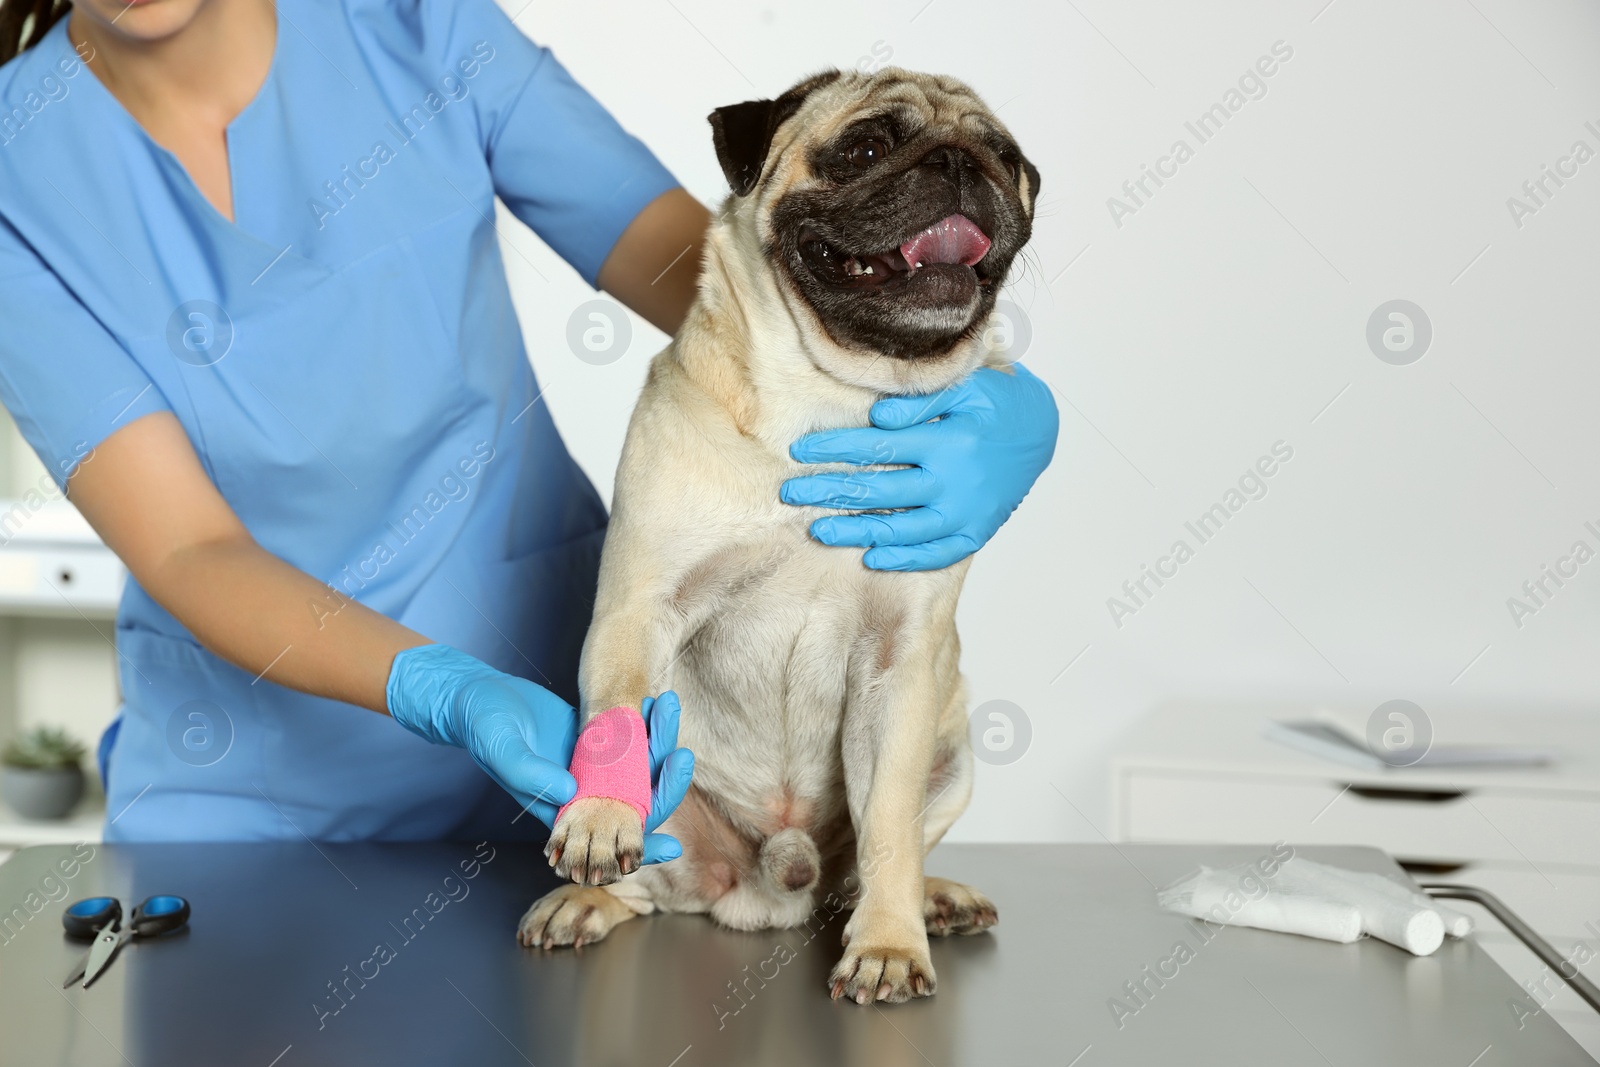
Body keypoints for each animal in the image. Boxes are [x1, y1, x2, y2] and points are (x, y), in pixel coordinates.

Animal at [518, 68, 1043, 1011]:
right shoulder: (638, 611)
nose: (959, 160)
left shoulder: (900, 665)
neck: (833, 400)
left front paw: (888, 943)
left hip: (952, 752)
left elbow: (889, 829)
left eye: (1007, 160)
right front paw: (600, 817)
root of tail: (771, 890)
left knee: (881, 858)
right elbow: (612, 725)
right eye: (867, 147)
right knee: (647, 887)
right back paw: (588, 899)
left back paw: (928, 900)